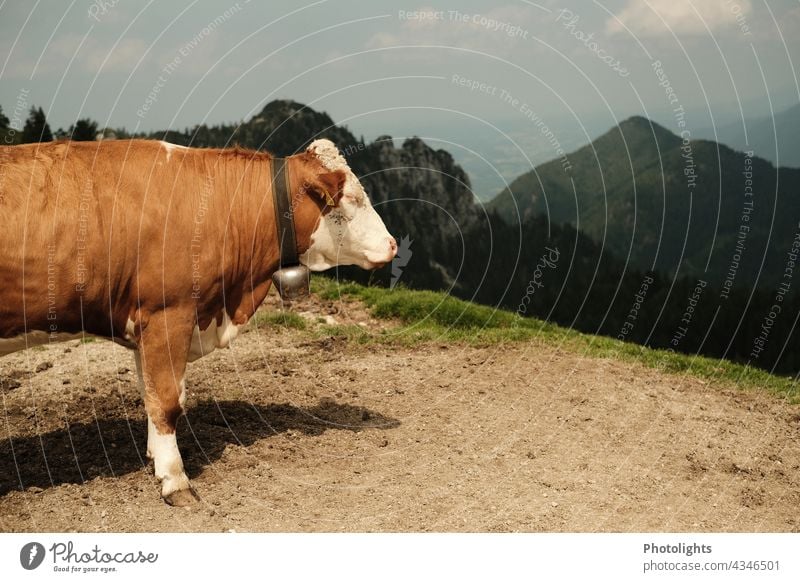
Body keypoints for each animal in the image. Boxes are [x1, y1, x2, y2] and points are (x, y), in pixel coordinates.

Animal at [0, 140, 398, 506]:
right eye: (352, 199)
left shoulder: (144, 324)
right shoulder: (168, 314)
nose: (393, 244)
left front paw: (154, 457)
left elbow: (151, 393)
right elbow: (167, 401)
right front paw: (175, 480)